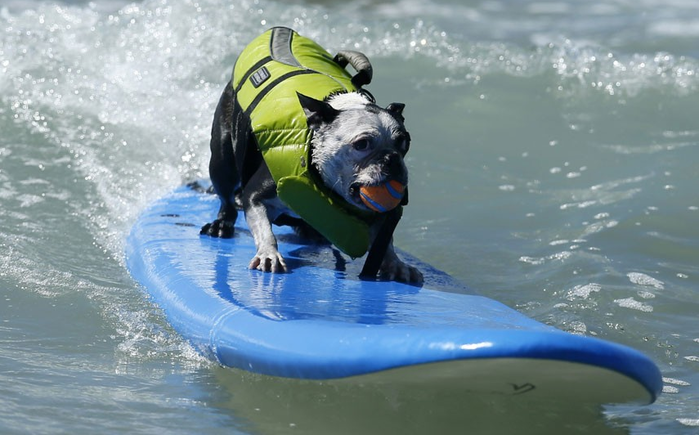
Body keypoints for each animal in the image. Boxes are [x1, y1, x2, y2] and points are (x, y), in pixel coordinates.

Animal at [200, 28, 424, 286]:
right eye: (362, 144)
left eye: (404, 142)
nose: (392, 158)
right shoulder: (256, 195)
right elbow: (264, 227)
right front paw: (269, 253)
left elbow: (385, 243)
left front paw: (396, 264)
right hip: (222, 157)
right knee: (226, 195)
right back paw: (221, 224)